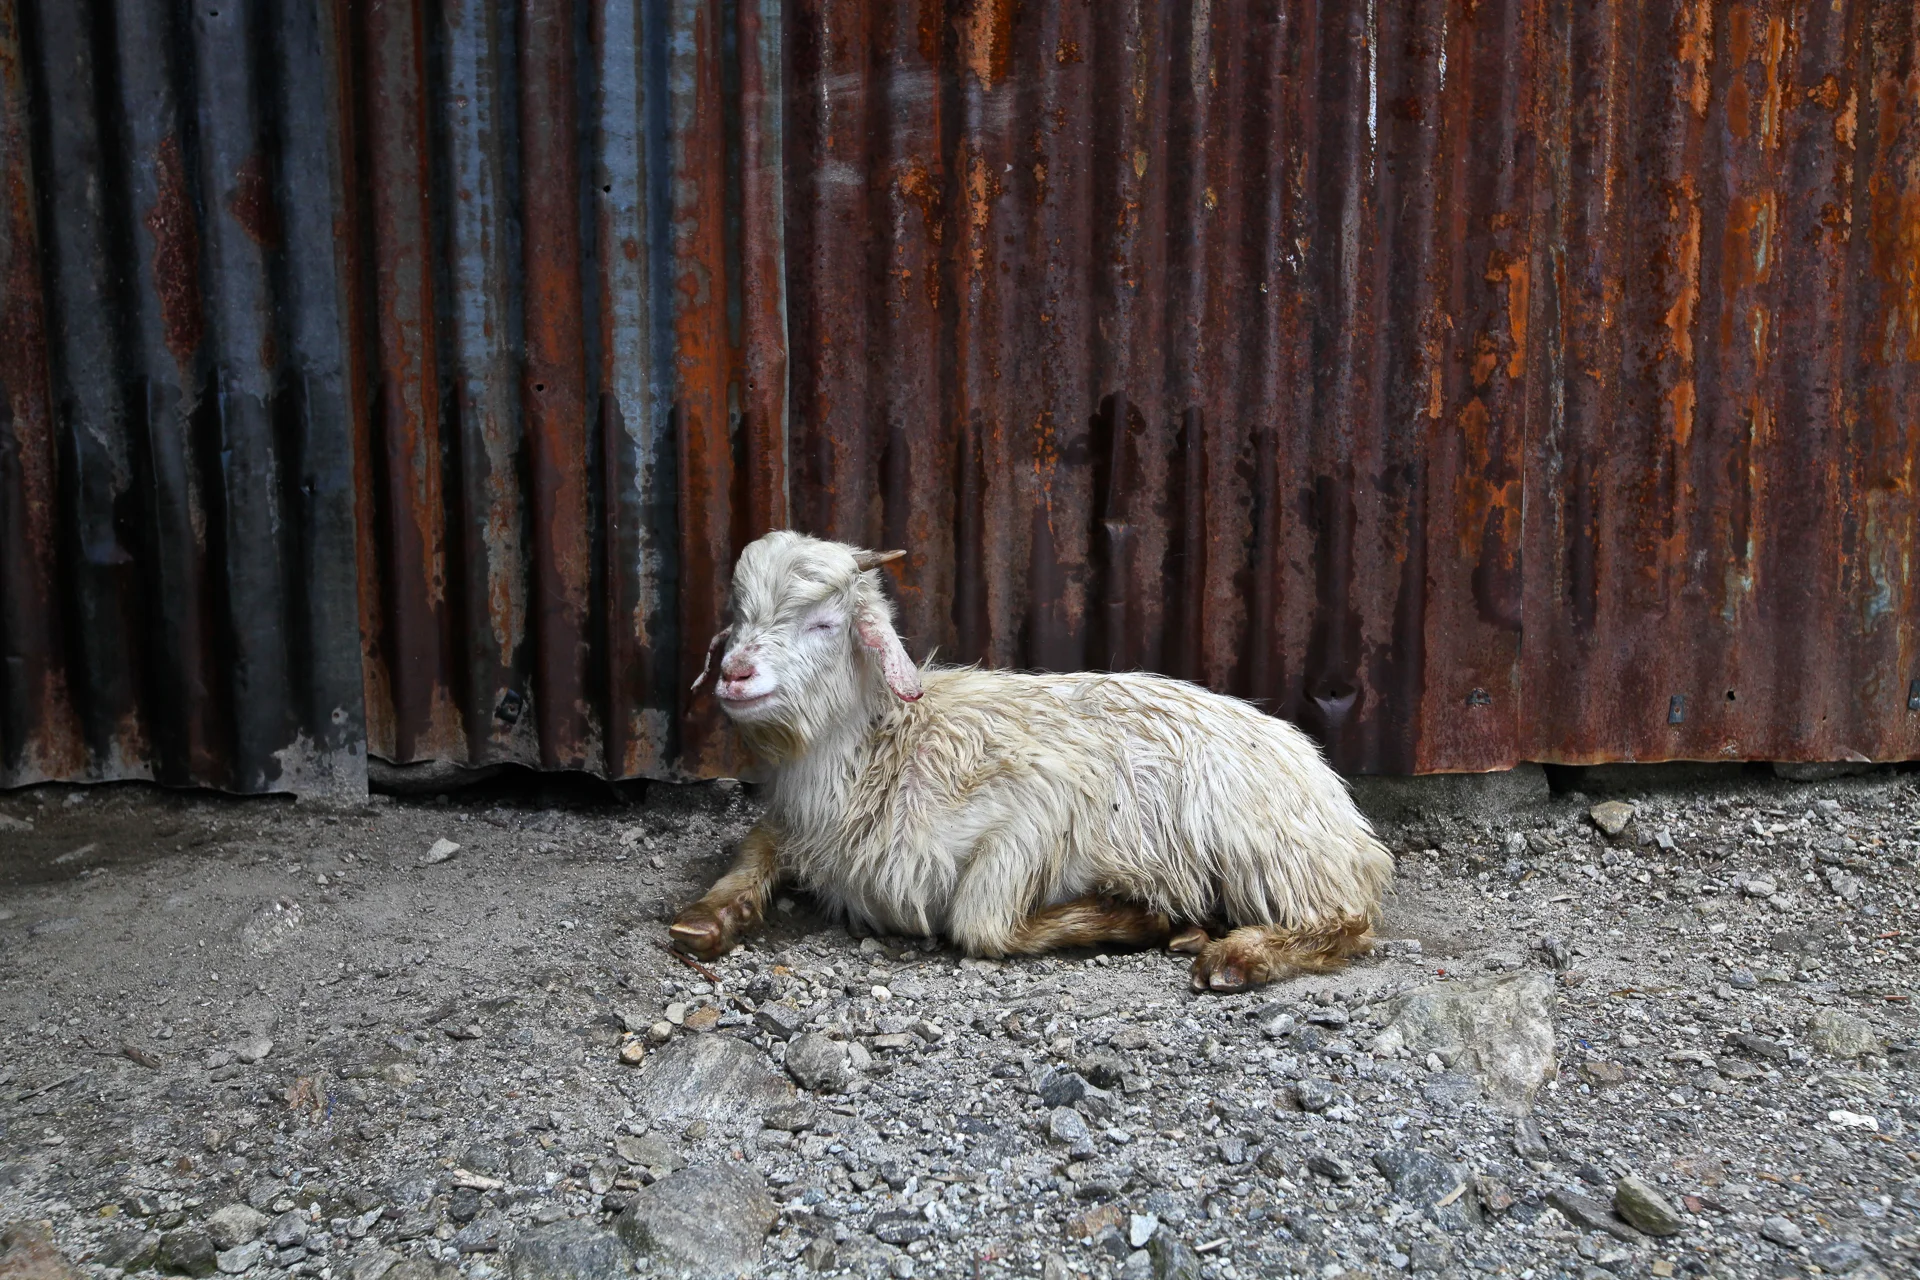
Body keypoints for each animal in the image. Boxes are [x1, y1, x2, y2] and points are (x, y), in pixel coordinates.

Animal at [669, 531, 1393, 991]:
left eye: (823, 623)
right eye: (738, 618)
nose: (734, 675)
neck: (880, 753)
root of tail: (1334, 795)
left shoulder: (1039, 800)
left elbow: (980, 923)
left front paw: (1129, 917)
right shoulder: (796, 827)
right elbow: (755, 844)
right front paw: (709, 916)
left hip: (1265, 843)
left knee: (1347, 923)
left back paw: (1234, 956)